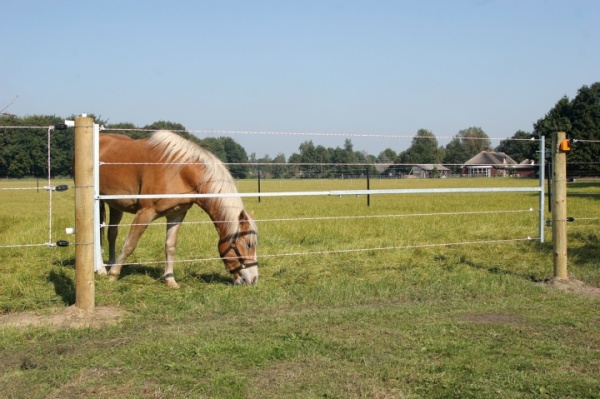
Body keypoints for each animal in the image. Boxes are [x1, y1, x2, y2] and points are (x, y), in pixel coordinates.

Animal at [98, 130, 258, 288]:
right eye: (249, 244)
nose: (254, 279)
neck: (179, 171)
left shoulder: (177, 214)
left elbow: (170, 246)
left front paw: (170, 280)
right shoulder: (145, 213)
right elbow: (130, 244)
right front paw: (113, 275)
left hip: (115, 205)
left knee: (111, 233)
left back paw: (110, 263)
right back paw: (102, 270)